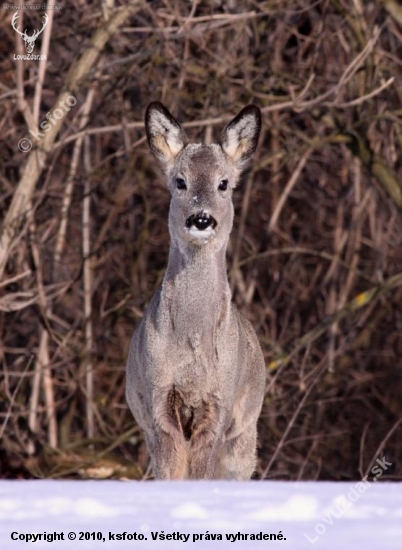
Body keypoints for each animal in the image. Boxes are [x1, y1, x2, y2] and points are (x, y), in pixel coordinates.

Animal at [125, 103, 264, 484]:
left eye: (224, 183)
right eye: (180, 181)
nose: (201, 219)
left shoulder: (218, 402)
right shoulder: (158, 397)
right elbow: (172, 471)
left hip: (245, 434)